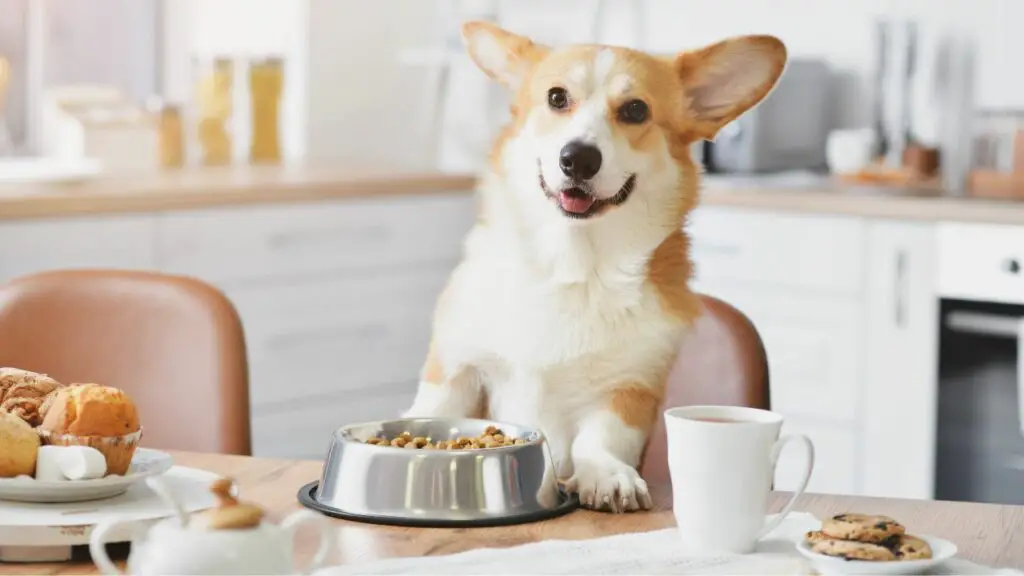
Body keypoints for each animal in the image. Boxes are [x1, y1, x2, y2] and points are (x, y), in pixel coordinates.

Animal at [403, 20, 786, 508]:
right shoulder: (457, 368)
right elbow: (433, 410)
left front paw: (606, 474)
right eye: (556, 98)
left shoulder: (630, 389)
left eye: (636, 110)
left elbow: (603, 437)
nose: (578, 158)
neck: (572, 265)